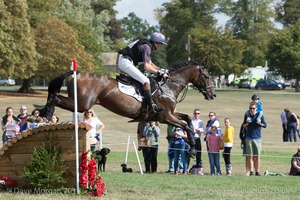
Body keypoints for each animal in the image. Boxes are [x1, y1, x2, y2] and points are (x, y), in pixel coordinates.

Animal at [38, 60, 216, 155]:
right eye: (206, 76)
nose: (212, 94)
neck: (169, 87)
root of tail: (78, 73)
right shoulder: (165, 117)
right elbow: (187, 126)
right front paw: (192, 148)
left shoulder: (170, 115)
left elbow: (187, 120)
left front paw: (190, 143)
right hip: (82, 105)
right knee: (55, 97)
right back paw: (46, 114)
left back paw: (43, 113)